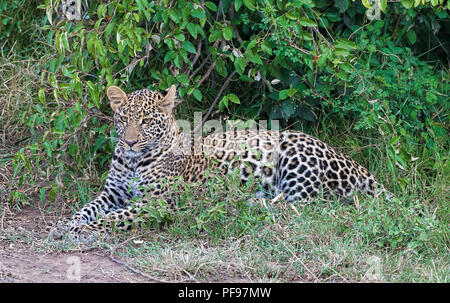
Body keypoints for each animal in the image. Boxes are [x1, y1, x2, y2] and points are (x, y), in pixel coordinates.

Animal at [50, 84, 390, 241]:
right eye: (123, 119)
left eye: (146, 121)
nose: (130, 142)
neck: (134, 161)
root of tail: (356, 164)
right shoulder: (112, 193)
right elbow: (87, 208)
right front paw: (64, 224)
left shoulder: (154, 203)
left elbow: (112, 218)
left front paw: (82, 230)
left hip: (295, 150)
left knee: (298, 206)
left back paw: (244, 203)